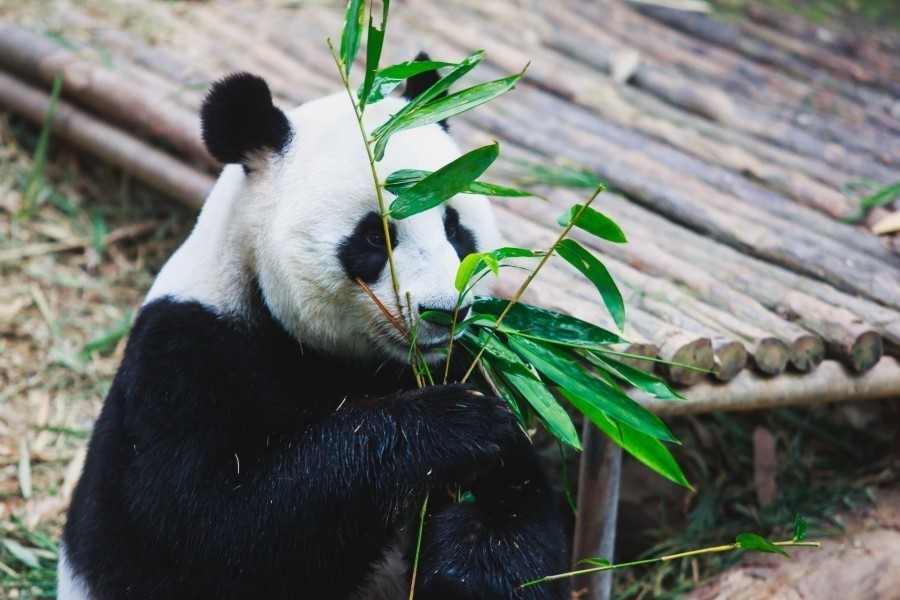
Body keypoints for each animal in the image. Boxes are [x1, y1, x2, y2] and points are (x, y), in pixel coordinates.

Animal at [59, 67, 568, 600]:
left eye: (454, 228)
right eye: (374, 236)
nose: (445, 312)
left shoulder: (465, 360)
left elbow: (520, 505)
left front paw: (466, 568)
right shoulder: (185, 360)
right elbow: (219, 524)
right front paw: (452, 423)